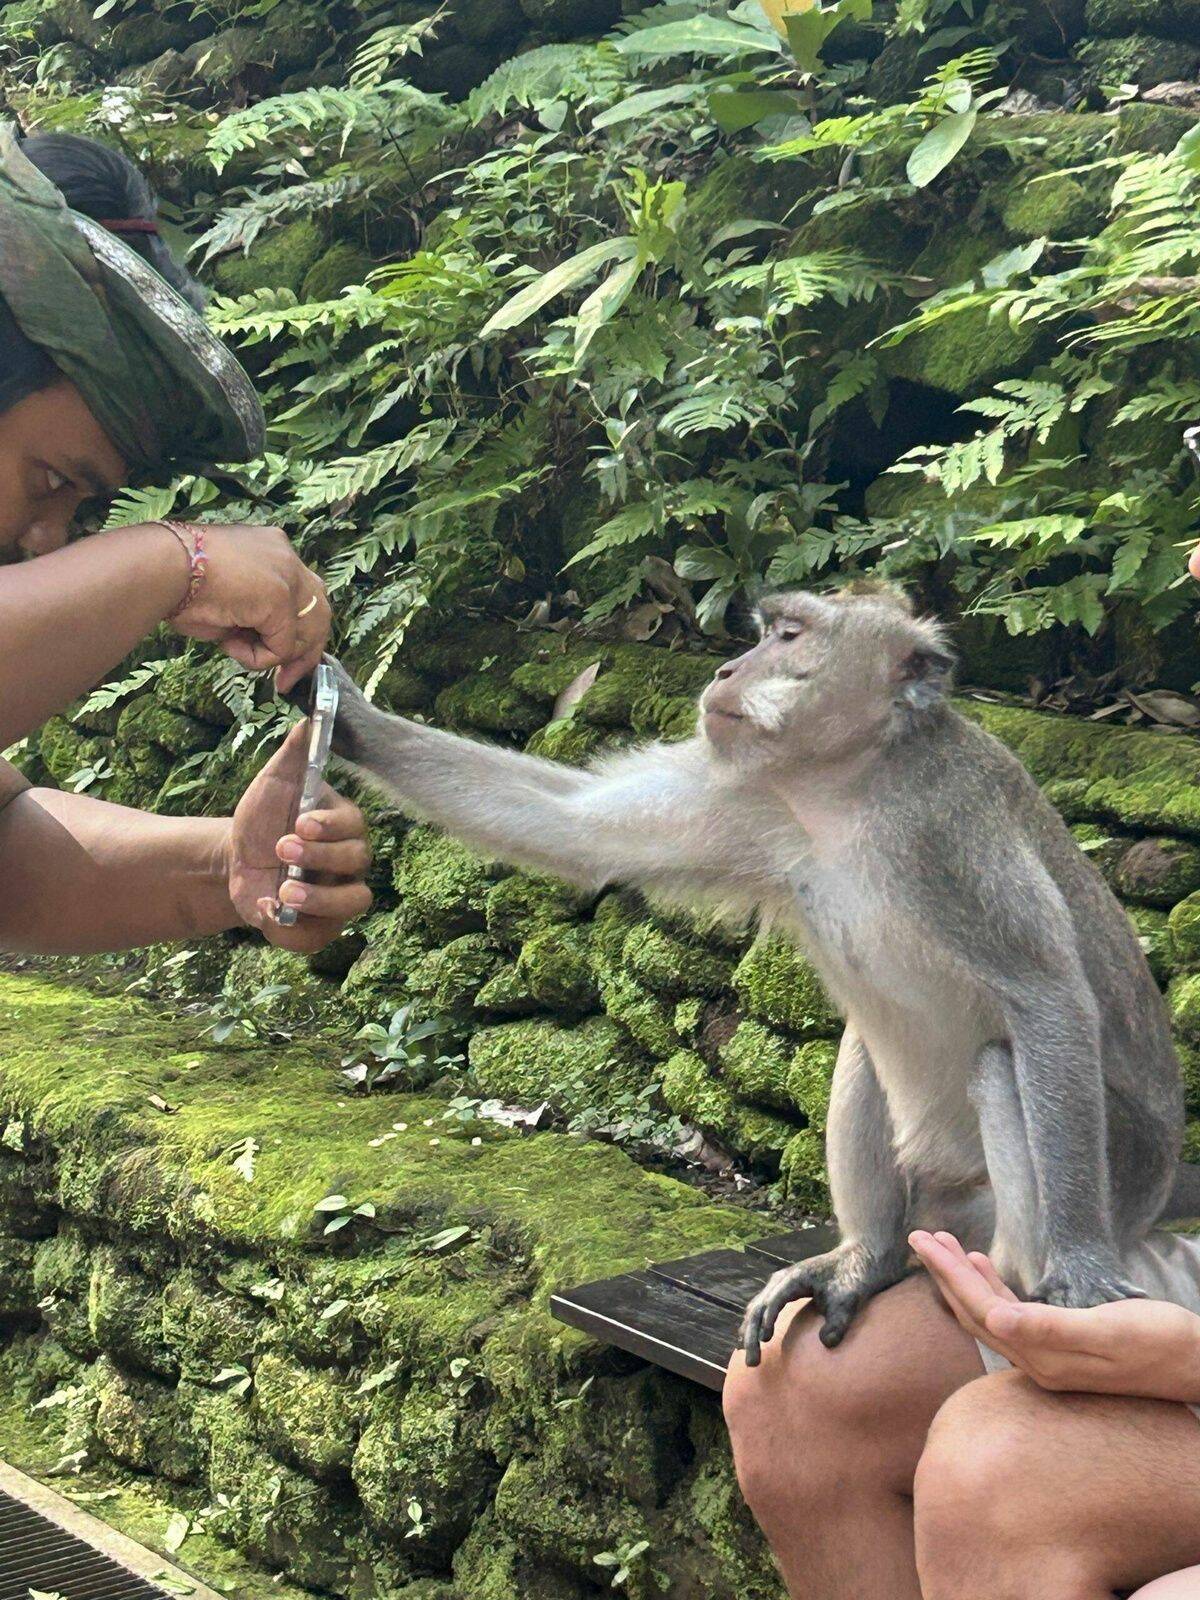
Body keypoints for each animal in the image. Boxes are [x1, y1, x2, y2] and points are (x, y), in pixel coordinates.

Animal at [310, 588, 1184, 1363]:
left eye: (790, 636)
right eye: (768, 631)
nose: (728, 668)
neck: (847, 788)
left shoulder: (948, 830)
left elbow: (1047, 996)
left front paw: (1080, 1269)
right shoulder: (758, 799)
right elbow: (576, 825)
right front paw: (346, 715)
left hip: (1102, 1176)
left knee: (1001, 1061)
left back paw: (1011, 1280)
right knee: (866, 1043)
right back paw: (868, 1260)